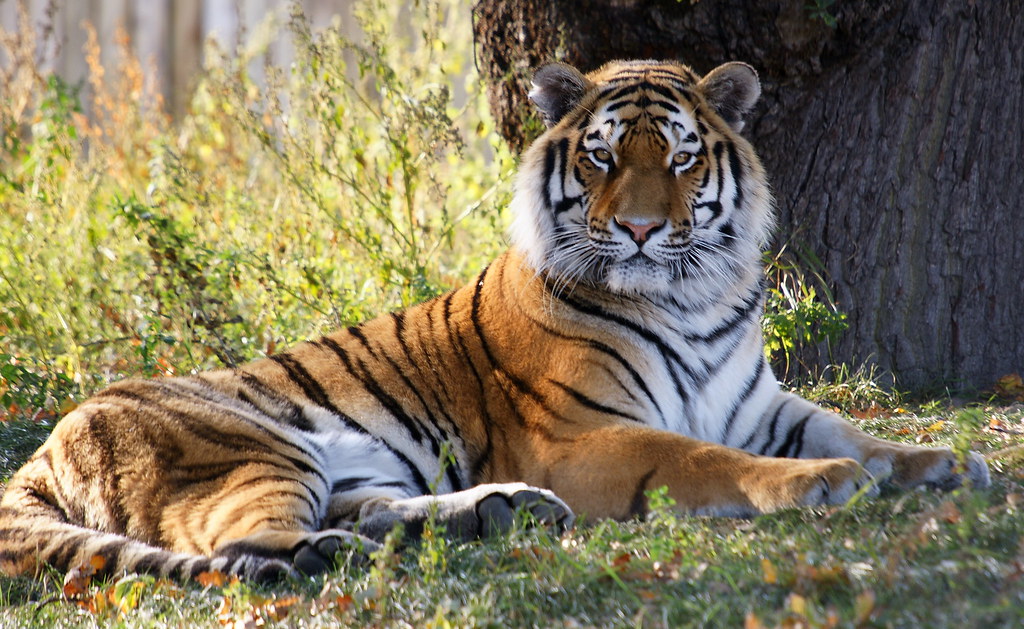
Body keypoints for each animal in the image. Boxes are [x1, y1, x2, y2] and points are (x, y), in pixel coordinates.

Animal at [0, 59, 990, 583]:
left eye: (679, 159)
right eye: (600, 159)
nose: (639, 227)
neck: (692, 294)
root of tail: (44, 445)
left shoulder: (757, 402)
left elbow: (853, 429)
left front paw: (940, 461)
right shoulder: (581, 435)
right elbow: (701, 456)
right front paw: (822, 483)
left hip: (351, 464)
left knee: (374, 511)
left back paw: (493, 513)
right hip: (253, 446)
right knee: (239, 541)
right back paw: (326, 553)